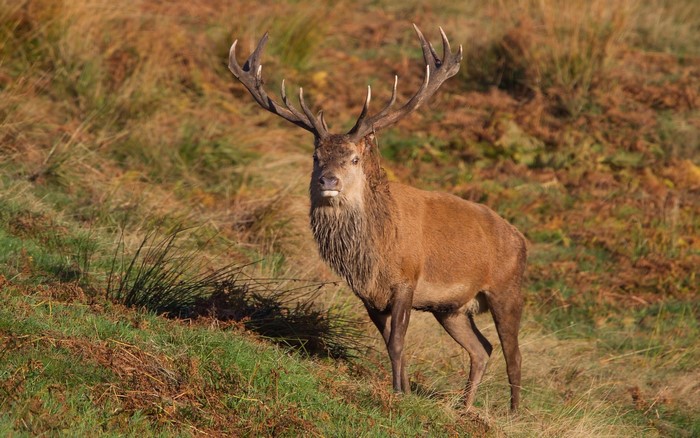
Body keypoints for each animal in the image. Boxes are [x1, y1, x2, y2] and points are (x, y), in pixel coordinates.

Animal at [228, 25, 527, 412]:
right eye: (316, 156)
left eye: (354, 159)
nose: (328, 181)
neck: (374, 254)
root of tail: (521, 239)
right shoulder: (368, 295)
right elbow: (389, 344)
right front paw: (404, 389)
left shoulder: (407, 279)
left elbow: (398, 341)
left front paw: (399, 394)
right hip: (452, 309)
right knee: (482, 349)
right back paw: (464, 408)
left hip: (507, 289)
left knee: (513, 355)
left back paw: (513, 413)